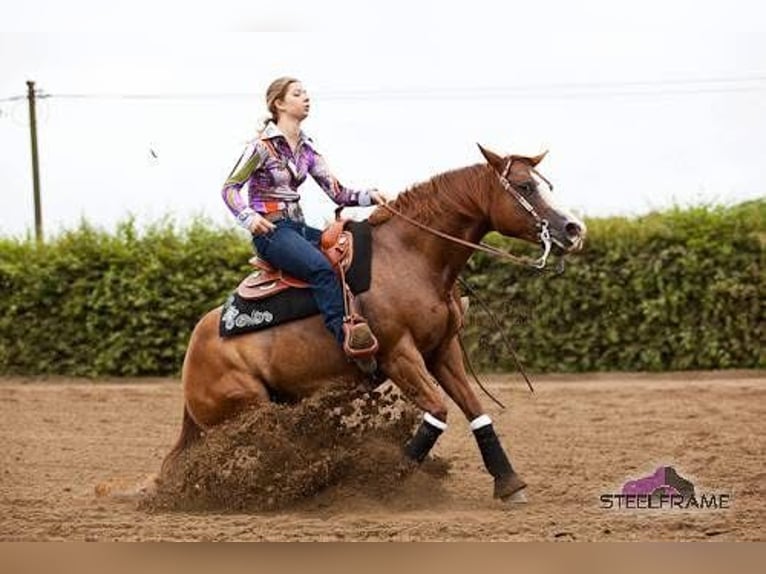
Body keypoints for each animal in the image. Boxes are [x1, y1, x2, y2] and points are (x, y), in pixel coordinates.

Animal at [162, 144, 586, 501]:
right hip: (249, 407)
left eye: (545, 184)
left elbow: (475, 410)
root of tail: (194, 353)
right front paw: (388, 483)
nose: (573, 229)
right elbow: (438, 412)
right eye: (526, 186)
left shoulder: (442, 351)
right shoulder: (399, 355)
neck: (413, 257)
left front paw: (509, 483)